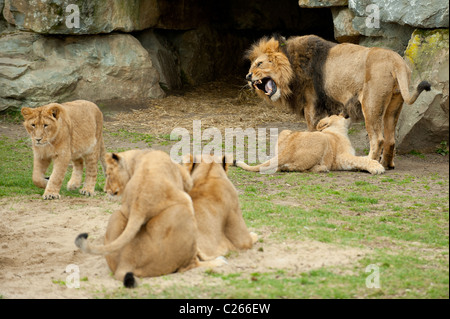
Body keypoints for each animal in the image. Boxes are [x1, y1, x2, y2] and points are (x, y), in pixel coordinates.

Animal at [76, 151, 227, 288]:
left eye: (108, 174)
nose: (106, 190)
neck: (137, 156)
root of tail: (139, 206)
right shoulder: (185, 180)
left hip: (117, 215)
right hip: (184, 207)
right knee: (191, 263)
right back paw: (219, 261)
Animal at [234, 115, 384, 175]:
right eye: (338, 114)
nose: (347, 114)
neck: (337, 131)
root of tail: (287, 149)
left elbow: (364, 158)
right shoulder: (341, 157)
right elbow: (361, 160)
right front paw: (377, 167)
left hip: (285, 132)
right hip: (321, 139)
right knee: (294, 168)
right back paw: (321, 168)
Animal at [248, 35, 430, 170]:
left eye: (259, 63)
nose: (248, 76)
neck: (291, 65)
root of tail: (396, 61)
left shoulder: (311, 104)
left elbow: (312, 128)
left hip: (370, 103)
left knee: (378, 139)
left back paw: (371, 161)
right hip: (394, 105)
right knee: (391, 139)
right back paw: (387, 164)